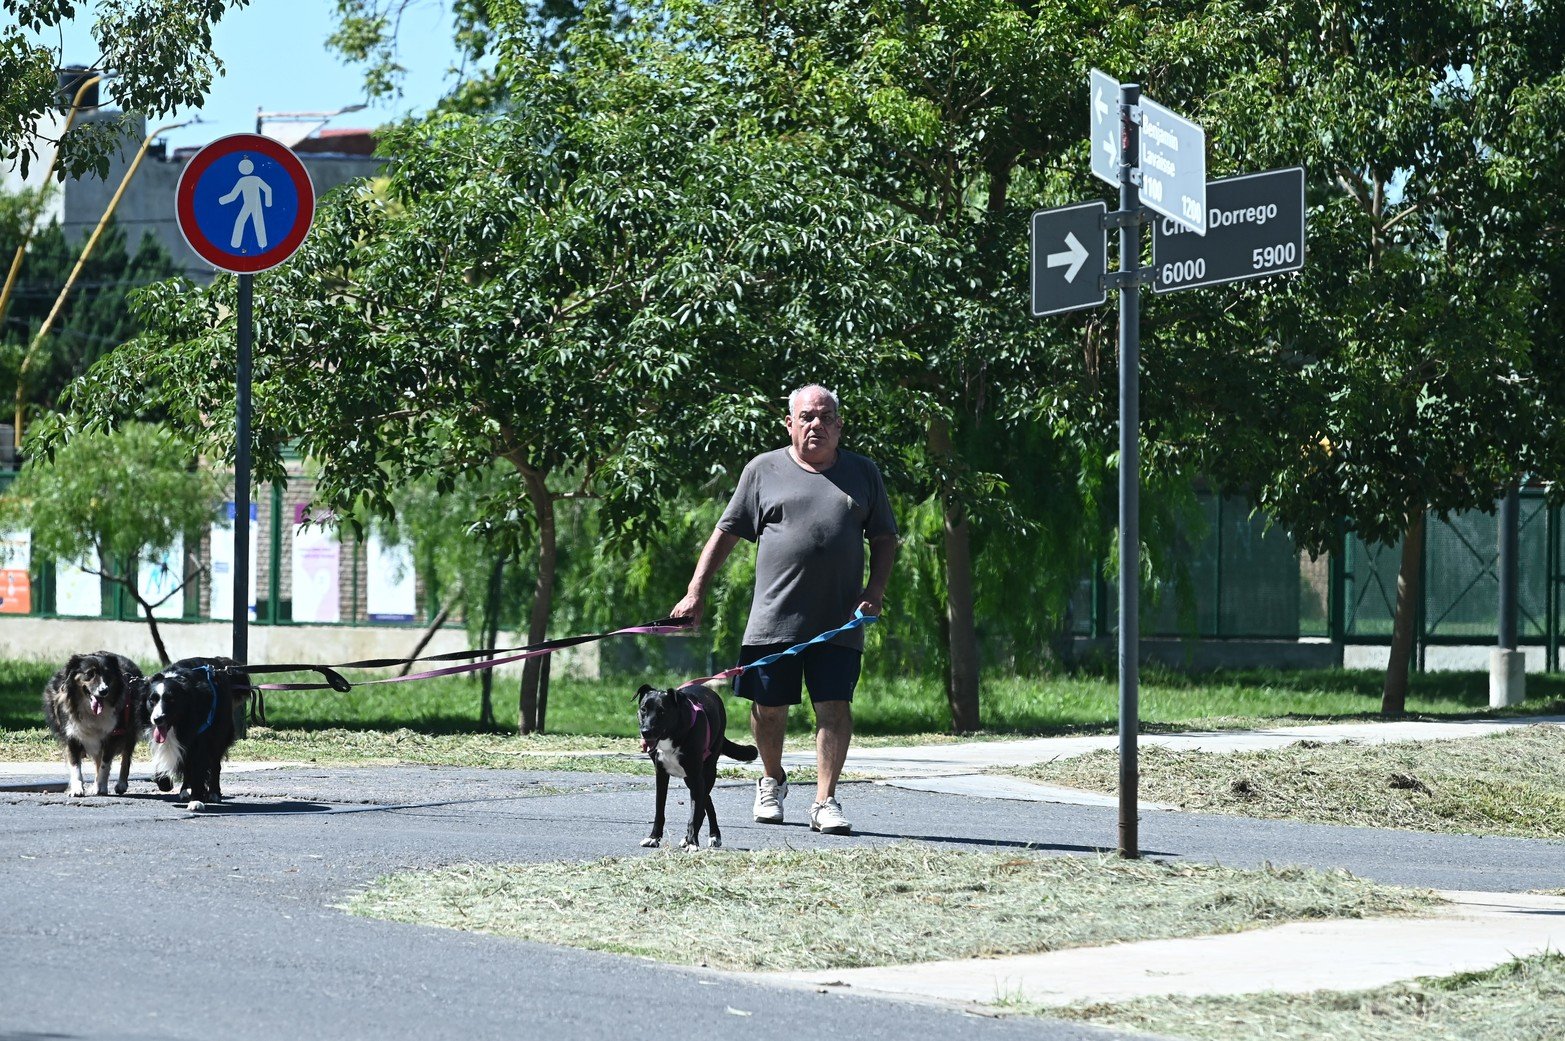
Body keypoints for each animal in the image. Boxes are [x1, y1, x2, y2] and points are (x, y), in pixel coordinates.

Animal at [42, 651, 146, 795]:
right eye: (90, 673)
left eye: (108, 673)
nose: (104, 691)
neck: (90, 711)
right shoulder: (71, 736)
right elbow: (75, 765)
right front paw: (77, 789)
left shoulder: (112, 735)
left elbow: (105, 764)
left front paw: (101, 787)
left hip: (129, 728)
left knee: (126, 756)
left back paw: (120, 784)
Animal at [144, 654, 247, 807]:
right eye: (152, 700)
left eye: (171, 700)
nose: (157, 719)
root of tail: (216, 661)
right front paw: (165, 782)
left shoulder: (202, 730)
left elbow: (199, 764)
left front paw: (196, 800)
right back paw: (185, 790)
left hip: (220, 728)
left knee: (215, 762)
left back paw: (214, 793)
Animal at [635, 682, 757, 845]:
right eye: (643, 709)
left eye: (662, 711)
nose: (645, 731)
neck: (673, 735)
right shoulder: (661, 774)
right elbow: (659, 810)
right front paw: (654, 837)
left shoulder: (696, 776)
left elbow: (695, 812)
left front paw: (692, 842)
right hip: (691, 779)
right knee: (706, 801)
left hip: (707, 772)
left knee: (703, 803)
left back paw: (711, 835)